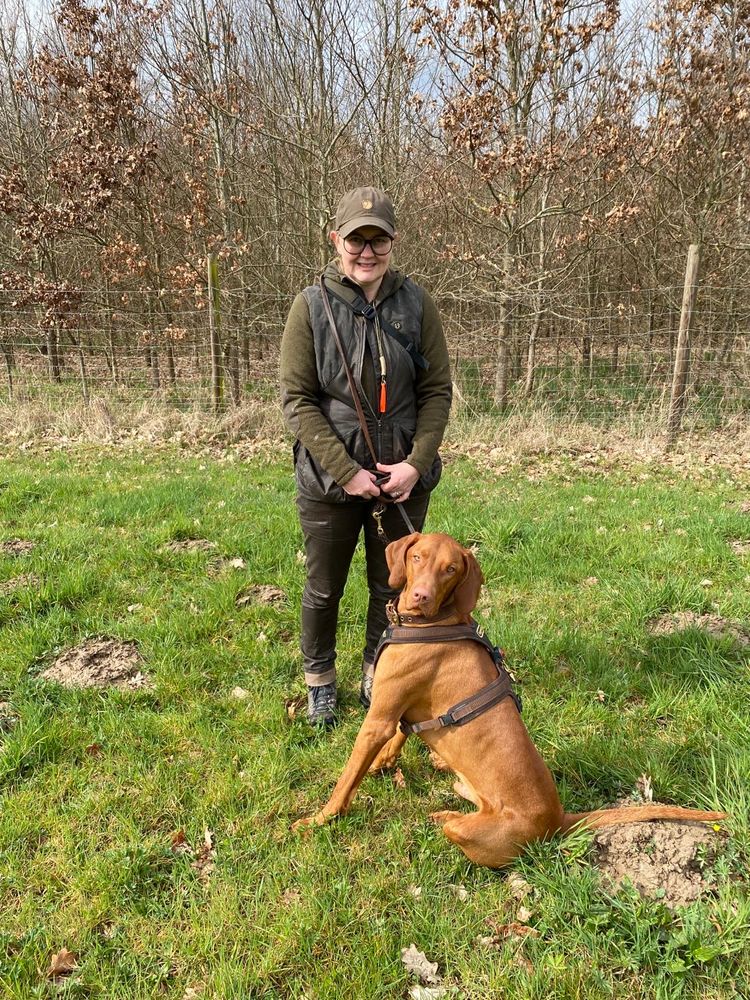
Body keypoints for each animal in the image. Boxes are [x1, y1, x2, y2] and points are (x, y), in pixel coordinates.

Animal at [293, 532, 726, 867]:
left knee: (460, 834)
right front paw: (384, 762)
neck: (435, 624)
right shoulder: (398, 709)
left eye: (451, 569)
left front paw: (320, 819)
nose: (420, 596)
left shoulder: (378, 718)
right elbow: (401, 734)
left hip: (471, 832)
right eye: (417, 557)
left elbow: (347, 779)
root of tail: (558, 818)